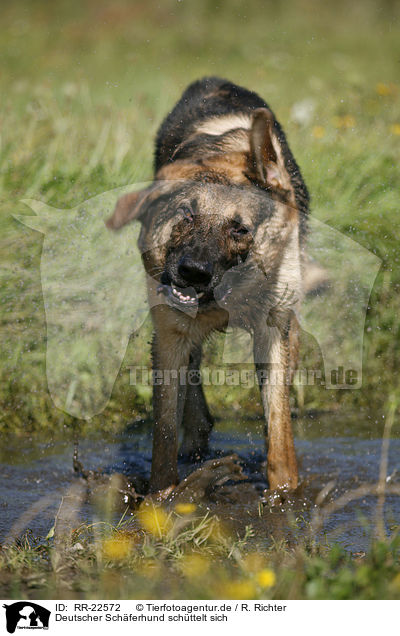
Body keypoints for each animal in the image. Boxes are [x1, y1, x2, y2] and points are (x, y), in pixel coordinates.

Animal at [107, 78, 310, 492]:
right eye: (186, 214)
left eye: (240, 229)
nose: (193, 272)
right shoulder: (170, 337)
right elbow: (164, 436)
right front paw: (164, 497)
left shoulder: (273, 335)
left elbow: (280, 439)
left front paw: (285, 496)